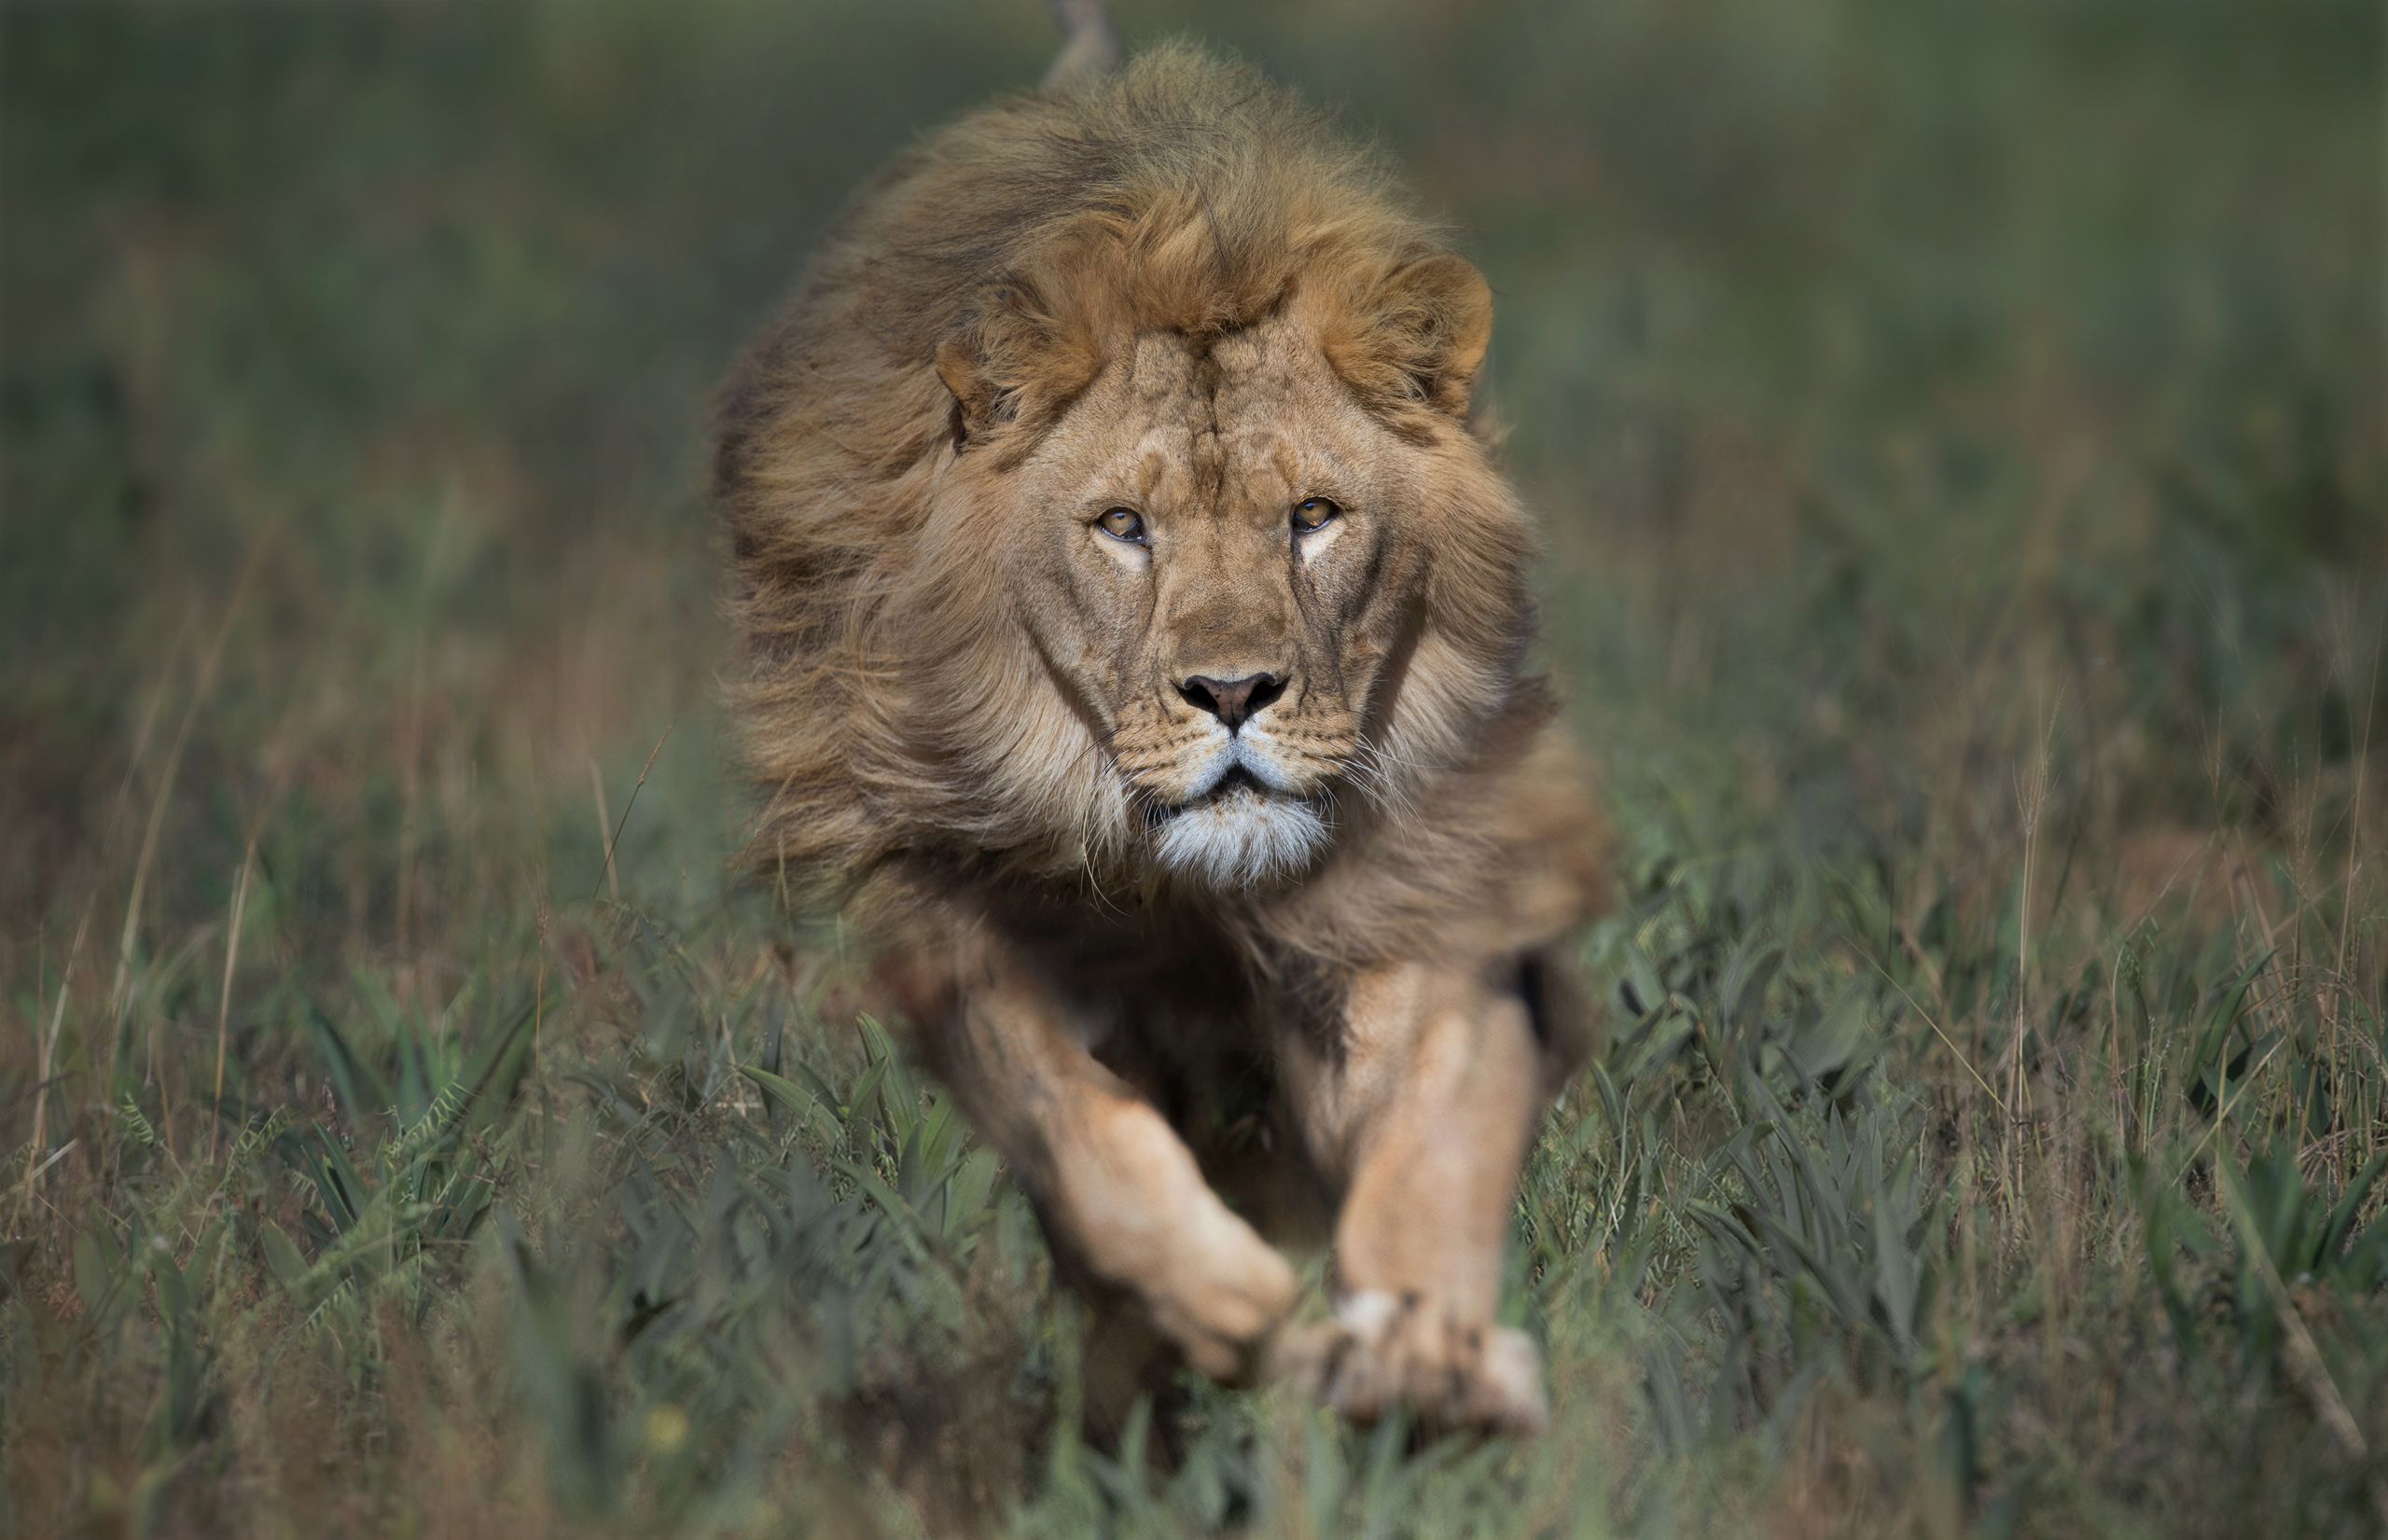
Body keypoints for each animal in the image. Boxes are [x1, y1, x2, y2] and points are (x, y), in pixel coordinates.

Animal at [714, 25, 1610, 1438]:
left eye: (1314, 515)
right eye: (1123, 527)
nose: (1234, 692)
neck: (1185, 891)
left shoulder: (1431, 889)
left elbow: (1434, 1125)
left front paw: (1426, 1346)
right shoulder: (955, 912)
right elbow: (1075, 1123)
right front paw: (1216, 1297)